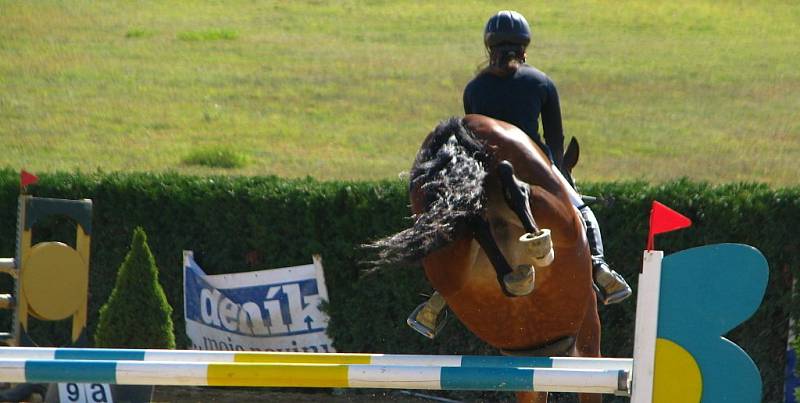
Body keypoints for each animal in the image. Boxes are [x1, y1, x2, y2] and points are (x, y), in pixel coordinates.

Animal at [368, 114, 600, 403]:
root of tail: (461, 124)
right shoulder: (587, 341)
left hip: (447, 254)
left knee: (473, 218)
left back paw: (514, 275)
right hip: (561, 218)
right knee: (518, 189)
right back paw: (535, 241)